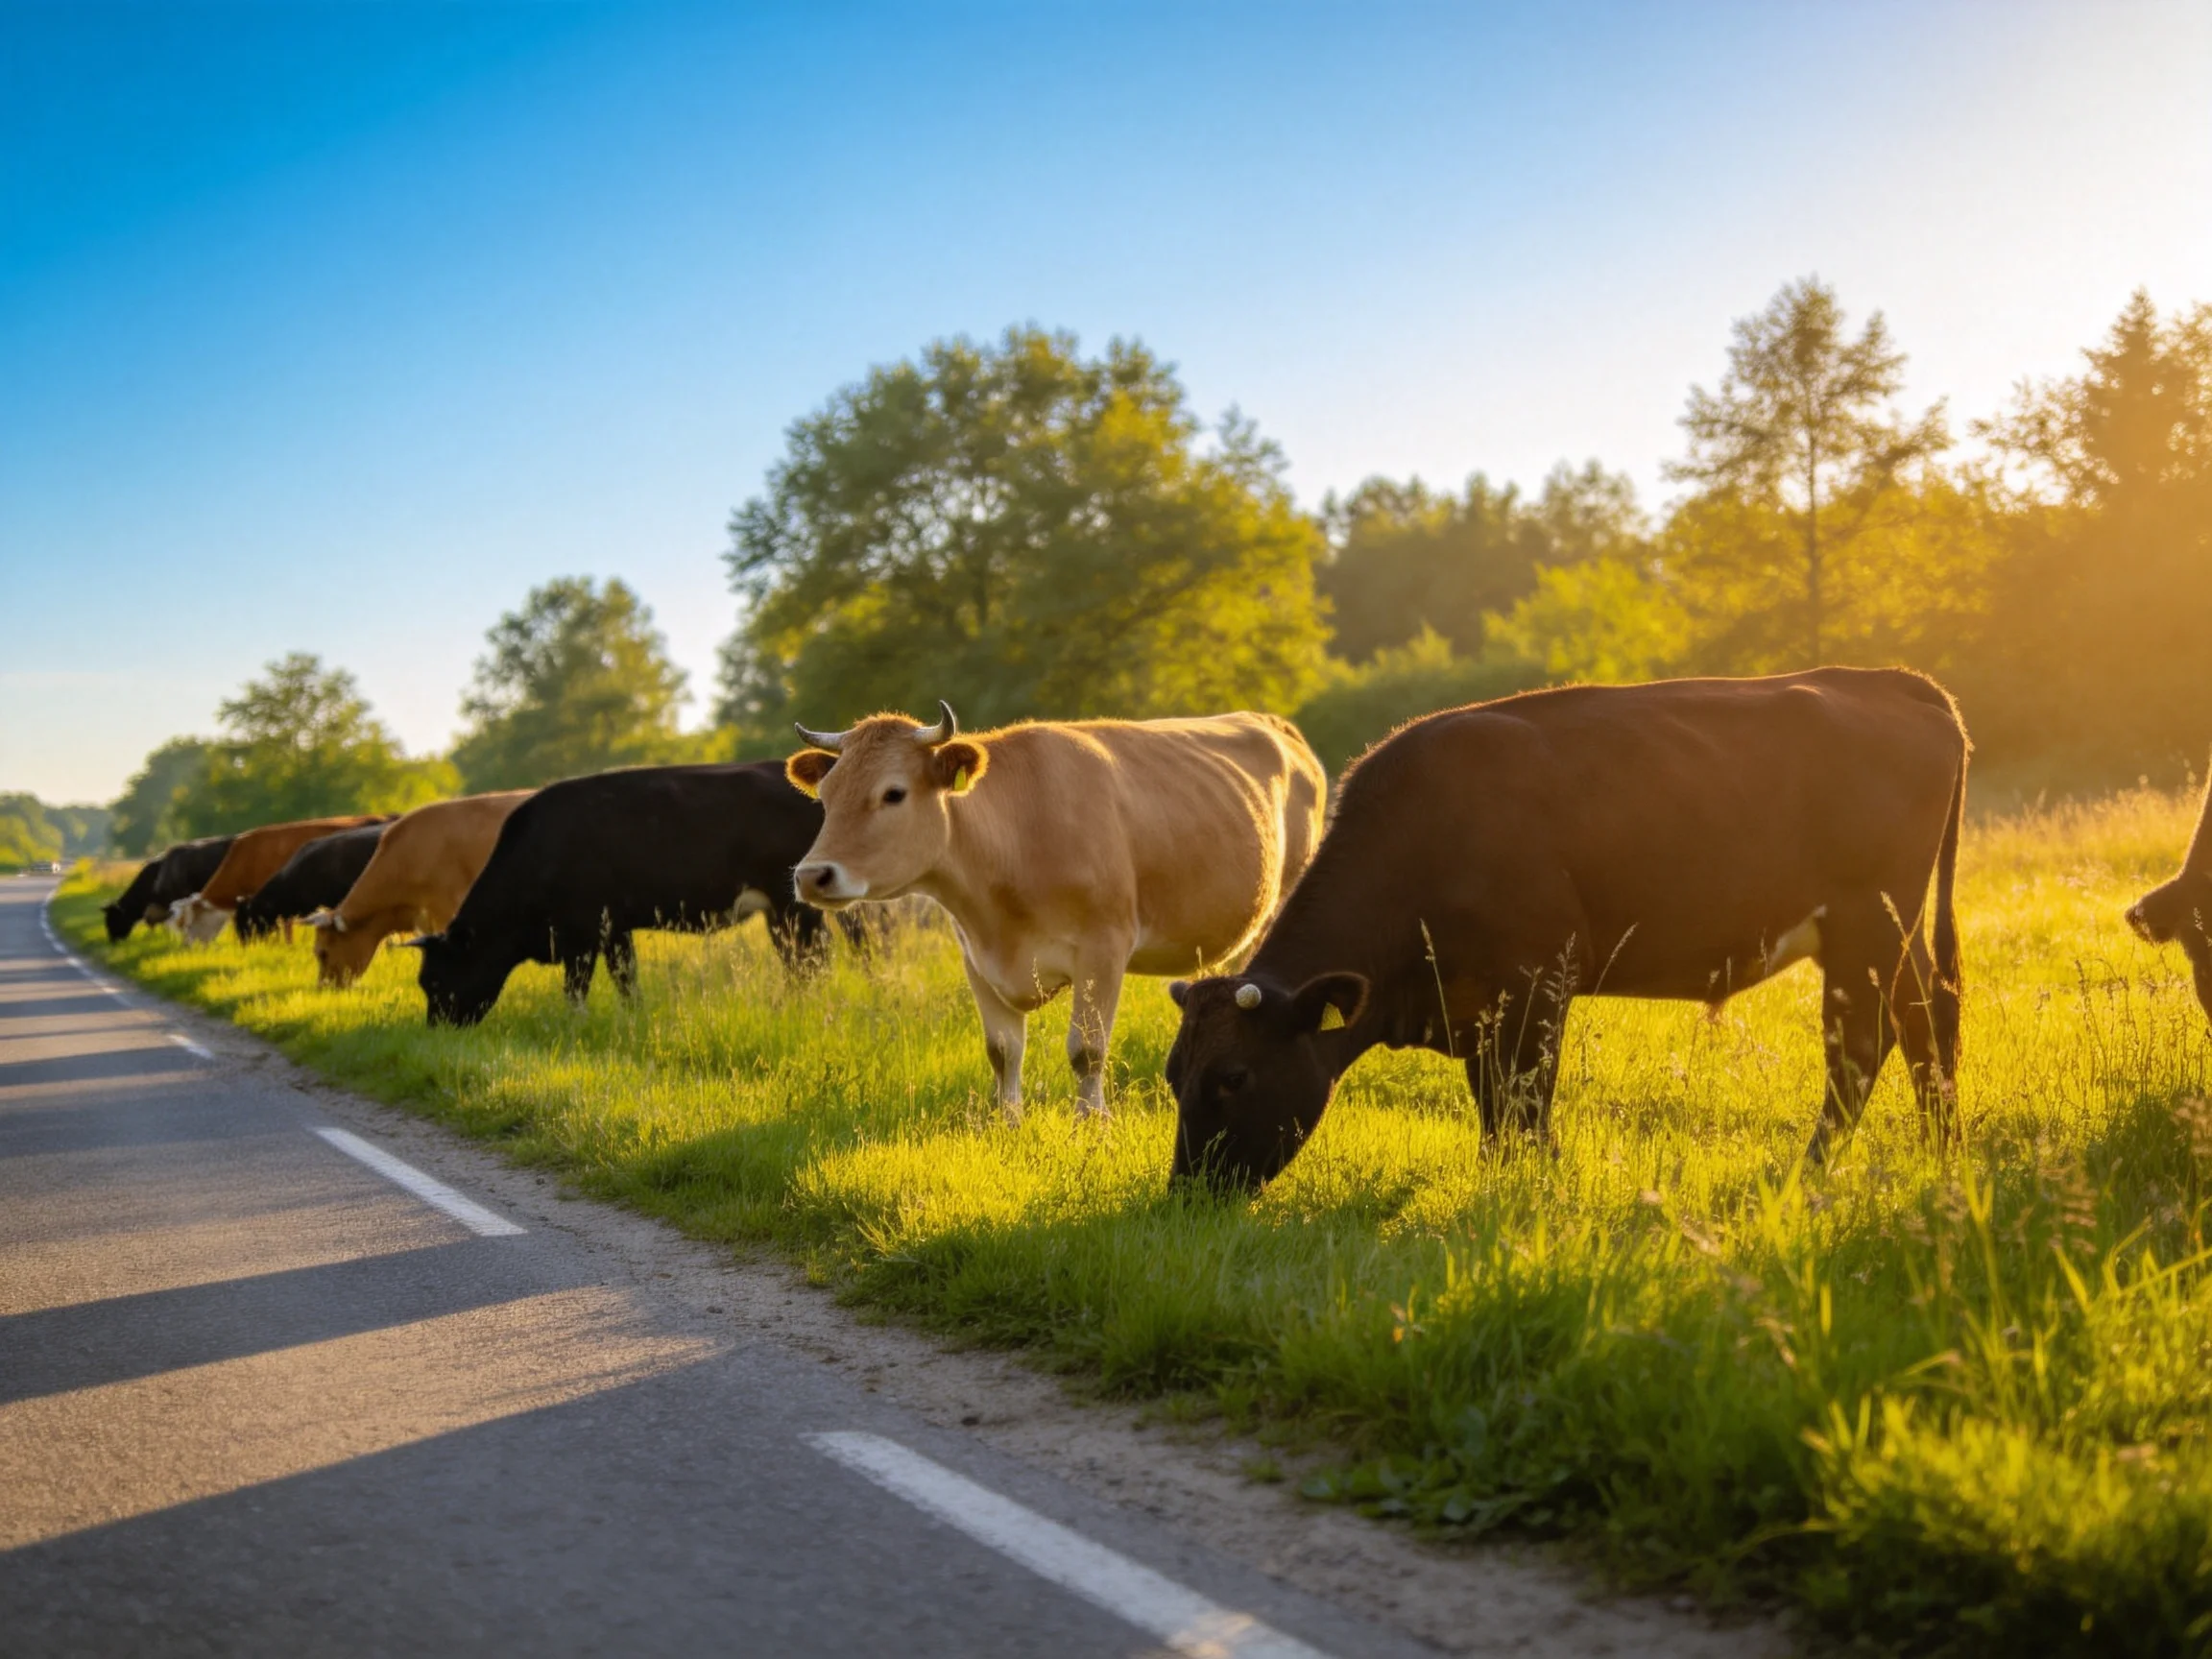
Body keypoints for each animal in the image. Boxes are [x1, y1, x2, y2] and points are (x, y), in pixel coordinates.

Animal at [406, 763, 852, 1026]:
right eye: (424, 982)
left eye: (436, 979)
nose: (438, 1029)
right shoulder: (613, 929)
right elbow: (626, 978)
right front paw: (632, 1019)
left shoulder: (582, 936)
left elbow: (576, 988)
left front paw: (578, 1024)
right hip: (784, 911)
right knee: (806, 962)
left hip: (792, 906)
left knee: (809, 962)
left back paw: (791, 1010)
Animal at [786, 702, 1327, 1122]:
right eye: (826, 796)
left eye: (893, 793)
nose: (812, 875)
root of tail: (1273, 723)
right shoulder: (975, 958)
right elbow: (1002, 1051)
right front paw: (1008, 1127)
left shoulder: (1103, 950)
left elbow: (1087, 1051)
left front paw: (1090, 1125)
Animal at [1162, 668, 1970, 1192]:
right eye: (1173, 1075)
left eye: (1234, 1076)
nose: (1187, 1196)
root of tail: (1891, 681)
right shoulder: (1478, 1004)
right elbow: (1491, 1102)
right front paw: (1500, 1179)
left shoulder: (1537, 978)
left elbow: (1525, 1096)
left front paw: (1535, 1182)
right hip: (1890, 934)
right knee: (1927, 1019)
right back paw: (1941, 1155)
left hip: (1866, 923)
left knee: (1861, 1046)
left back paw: (1810, 1174)